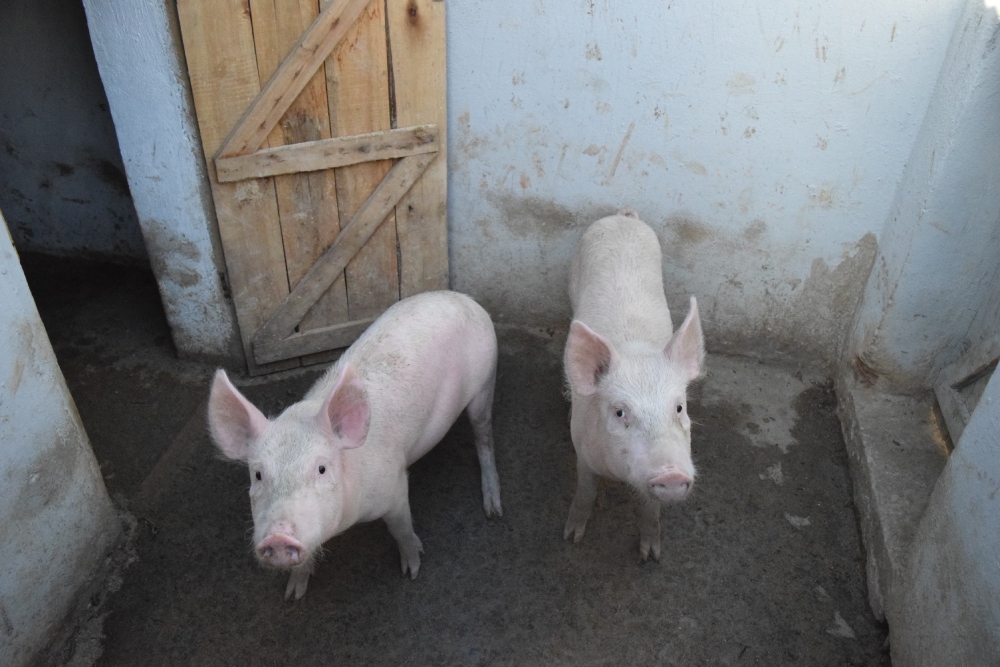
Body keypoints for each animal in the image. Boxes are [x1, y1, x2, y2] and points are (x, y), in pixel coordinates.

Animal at [207, 291, 502, 600]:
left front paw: (412, 570)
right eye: (258, 474)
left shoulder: (394, 486)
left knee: (484, 437)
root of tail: (464, 298)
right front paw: (293, 595)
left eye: (322, 469)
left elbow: (401, 529)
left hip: (485, 381)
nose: (277, 537)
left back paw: (493, 510)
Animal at [563, 209, 705, 561]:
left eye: (679, 407)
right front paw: (571, 537)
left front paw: (650, 555)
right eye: (620, 413)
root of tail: (622, 215)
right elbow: (585, 491)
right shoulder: (582, 453)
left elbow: (651, 510)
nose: (671, 474)